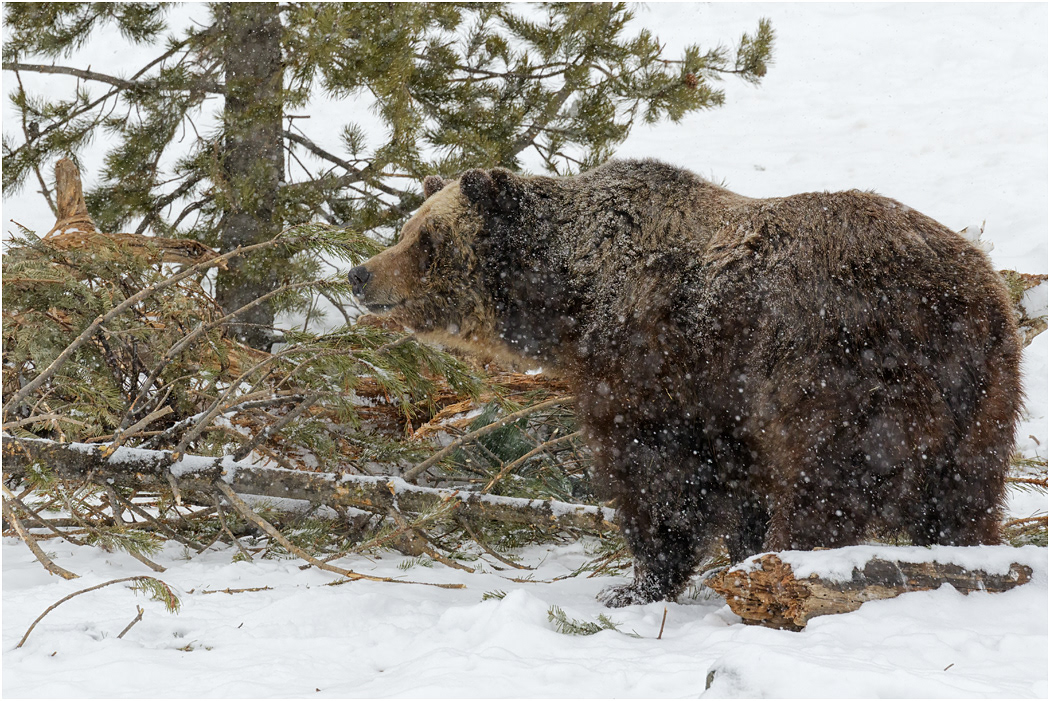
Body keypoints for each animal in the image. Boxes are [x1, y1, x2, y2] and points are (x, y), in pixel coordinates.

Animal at [348, 159, 1022, 607]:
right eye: (407, 227)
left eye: (426, 239)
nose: (360, 273)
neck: (574, 300)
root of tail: (966, 300)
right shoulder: (731, 410)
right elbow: (738, 486)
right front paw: (732, 556)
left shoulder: (656, 370)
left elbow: (660, 482)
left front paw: (637, 585)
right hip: (986, 398)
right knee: (964, 497)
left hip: (844, 370)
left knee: (828, 482)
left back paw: (796, 564)